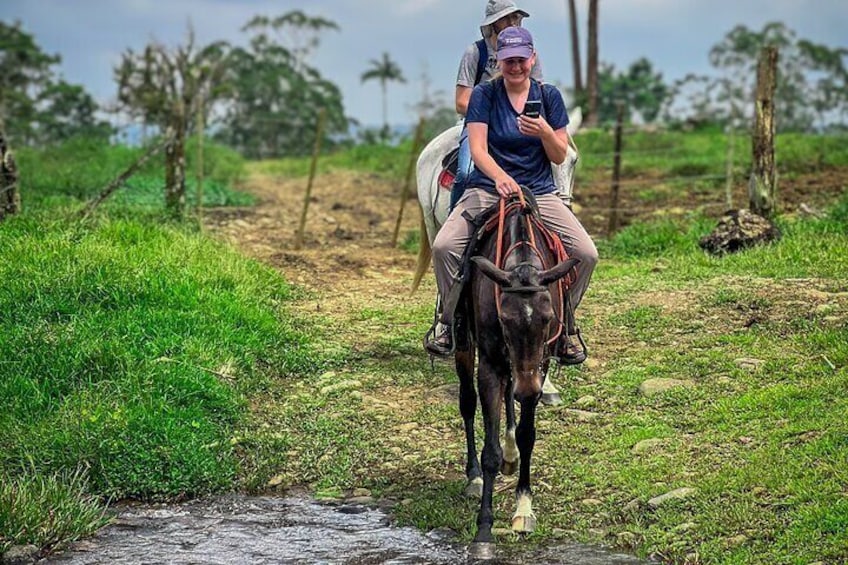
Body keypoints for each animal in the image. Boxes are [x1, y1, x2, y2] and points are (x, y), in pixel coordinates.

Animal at [454, 196, 580, 556]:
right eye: (505, 320)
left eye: (548, 317)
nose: (529, 388)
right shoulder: (491, 366)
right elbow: (490, 451)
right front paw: (484, 530)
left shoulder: (540, 364)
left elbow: (527, 435)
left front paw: (524, 509)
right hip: (464, 347)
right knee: (468, 403)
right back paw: (473, 477)